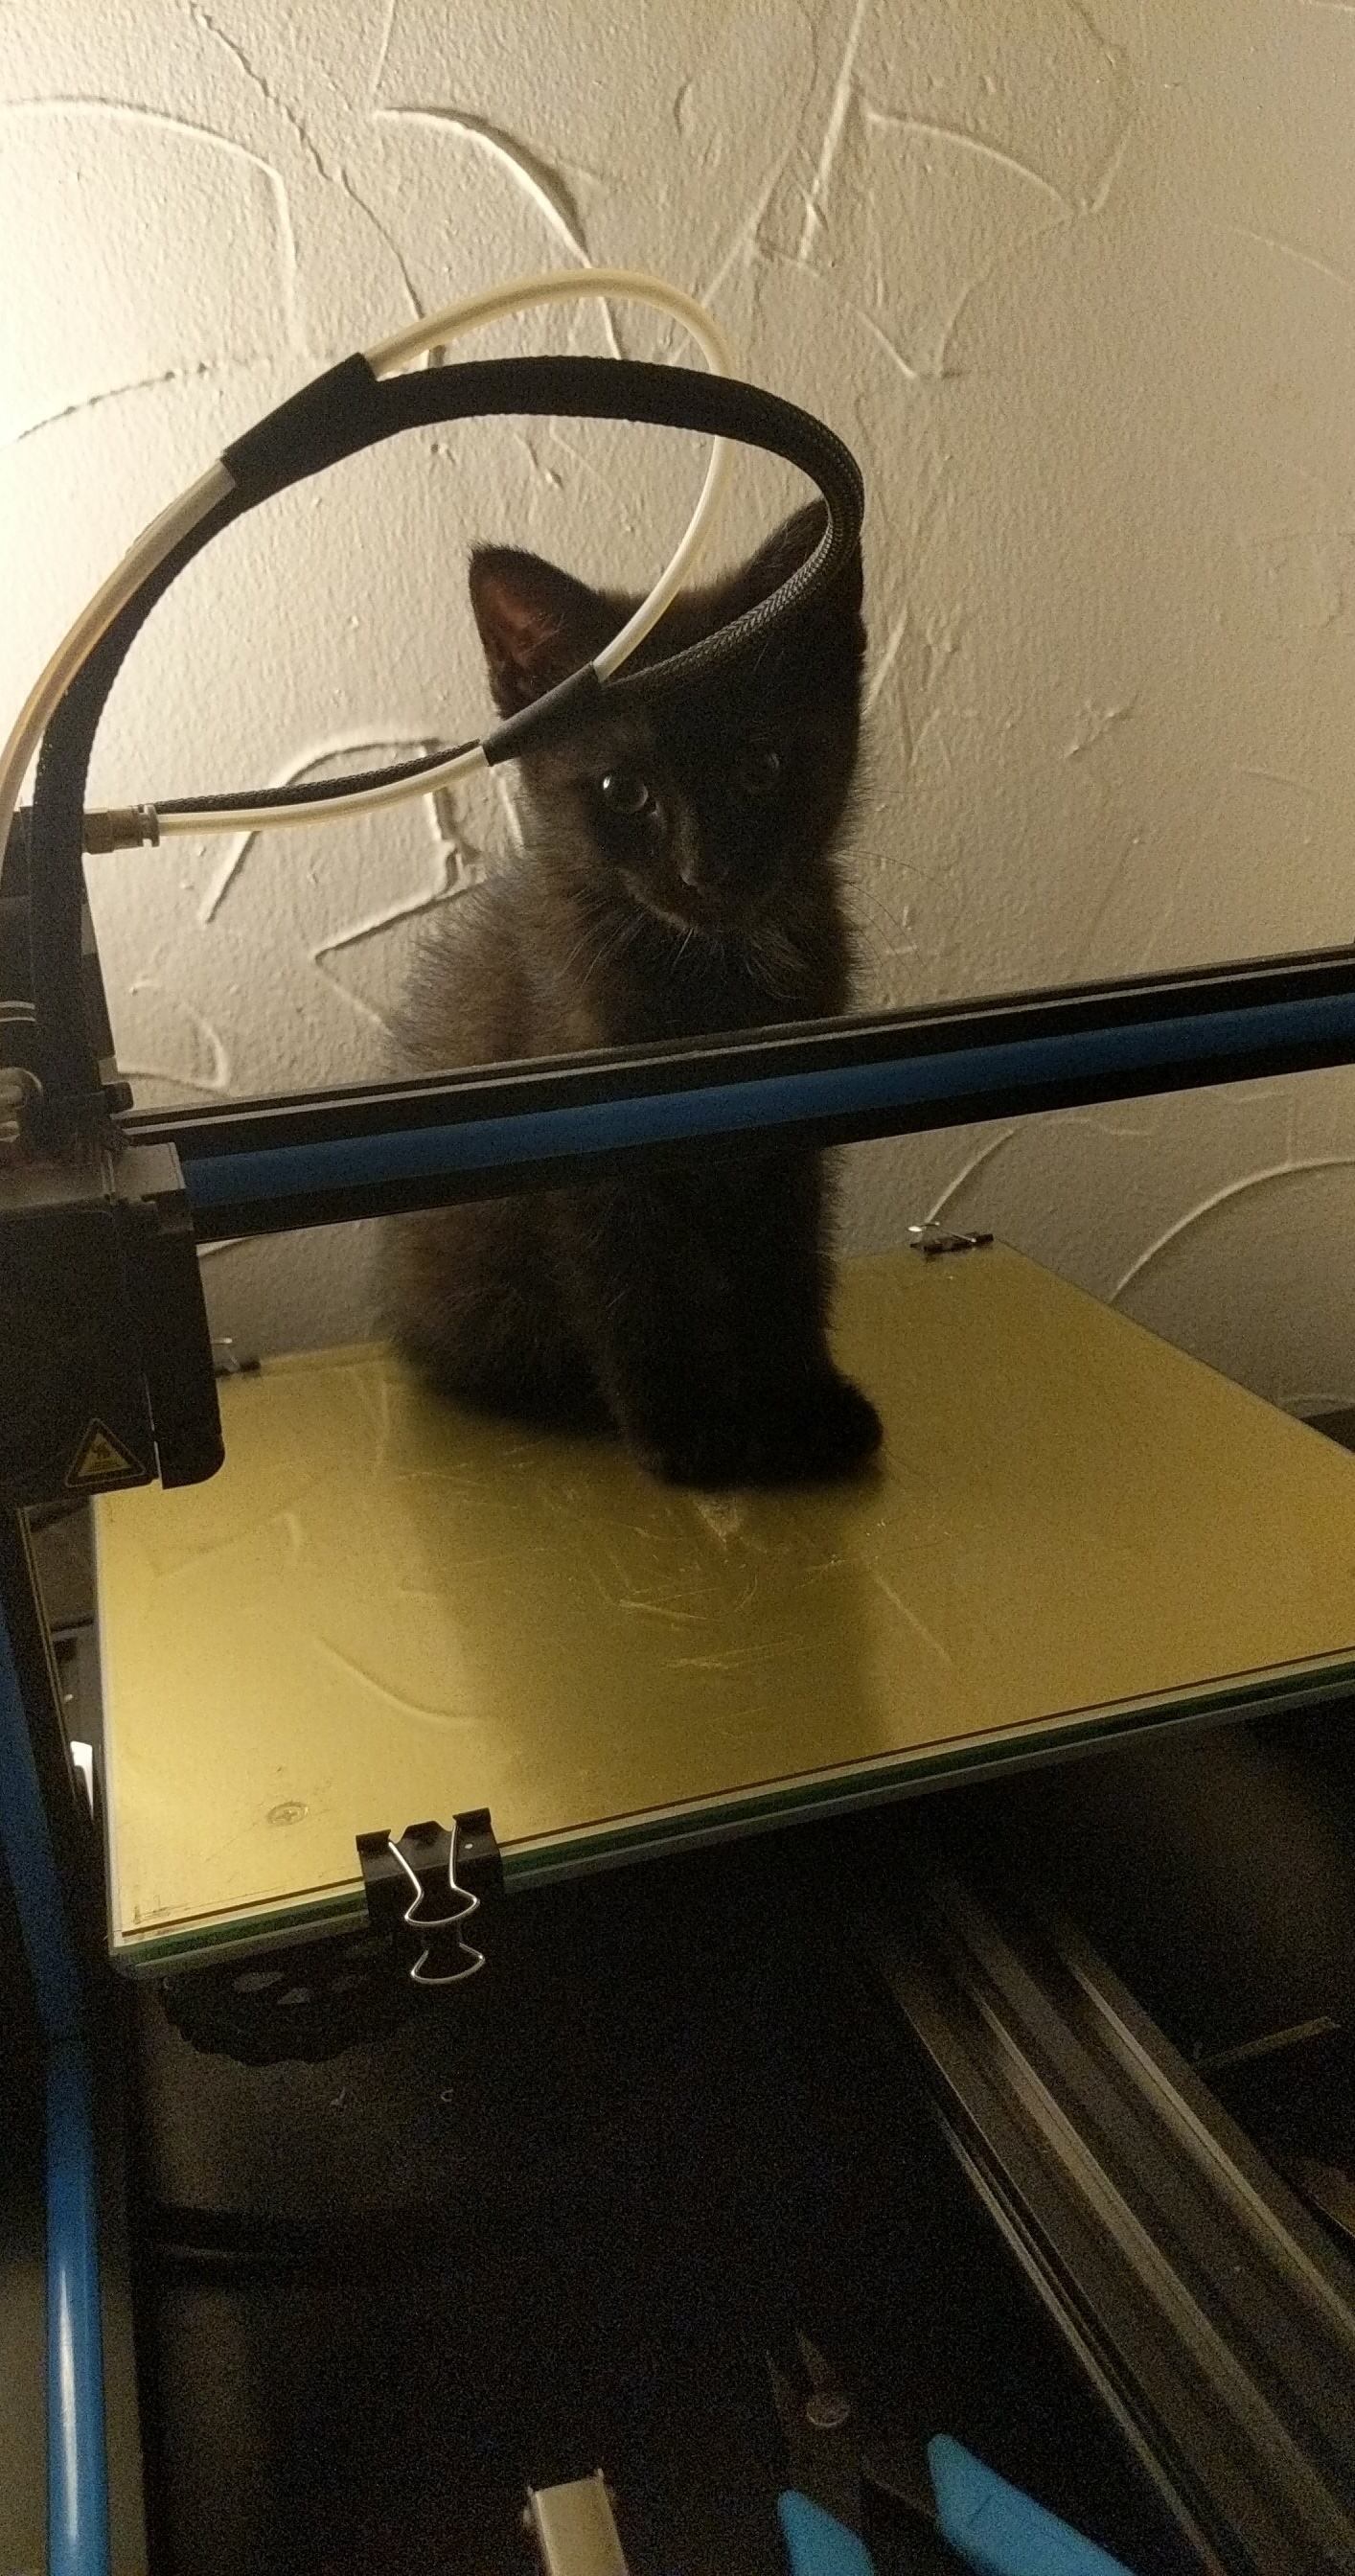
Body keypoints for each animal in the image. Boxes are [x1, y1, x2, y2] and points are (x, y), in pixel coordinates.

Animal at [387, 499, 883, 1488]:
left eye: (761, 768)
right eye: (624, 790)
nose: (706, 871)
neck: (713, 972)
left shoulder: (794, 1122)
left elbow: (786, 1262)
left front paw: (801, 1403)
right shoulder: (588, 1135)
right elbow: (630, 1280)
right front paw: (684, 1429)